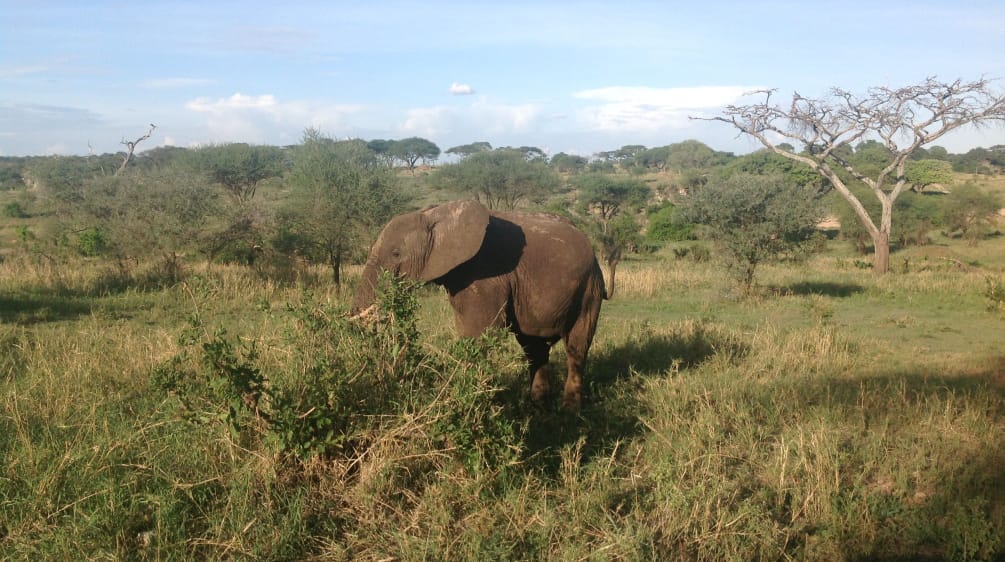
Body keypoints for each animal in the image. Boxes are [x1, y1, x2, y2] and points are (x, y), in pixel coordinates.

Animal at [349, 200, 607, 412]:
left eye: (396, 254)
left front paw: (473, 404)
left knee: (576, 346)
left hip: (589, 287)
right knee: (533, 347)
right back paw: (538, 407)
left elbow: (480, 331)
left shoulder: (487, 272)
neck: (435, 215)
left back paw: (569, 412)